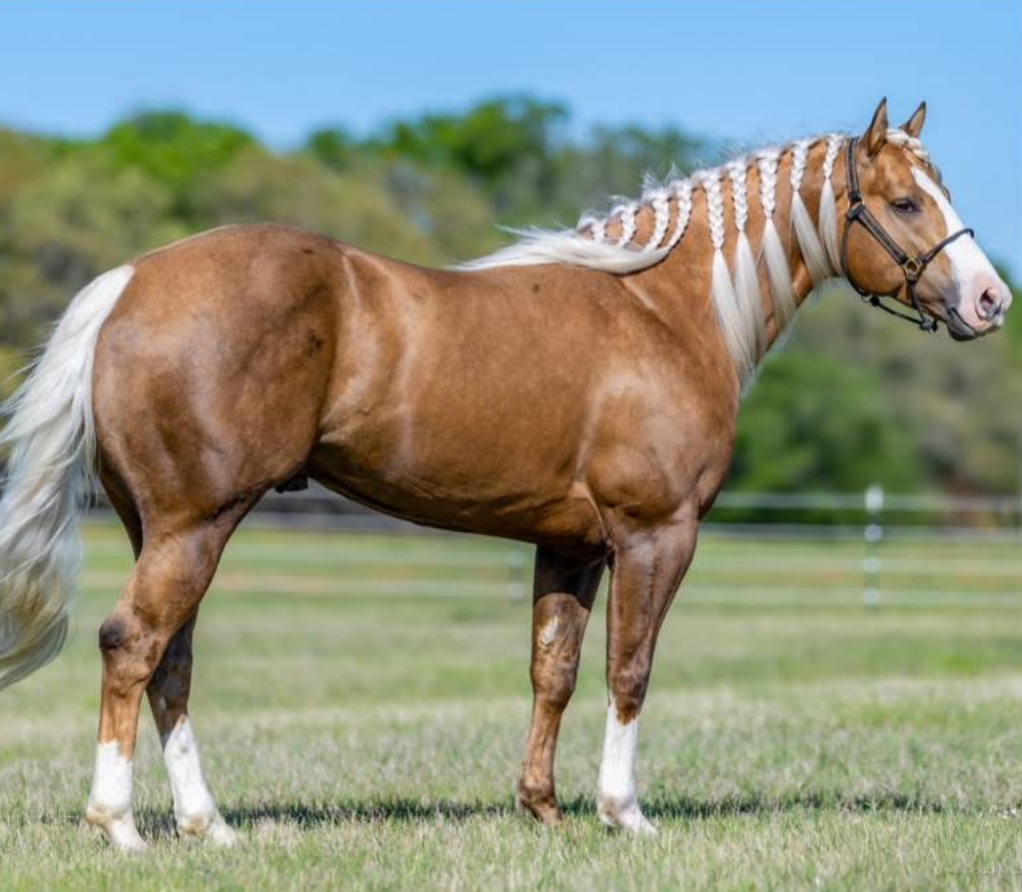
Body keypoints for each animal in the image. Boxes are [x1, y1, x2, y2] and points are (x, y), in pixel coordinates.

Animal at [0, 99, 1010, 850]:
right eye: (906, 203)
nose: (991, 300)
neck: (660, 310)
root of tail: (131, 281)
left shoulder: (571, 546)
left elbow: (552, 671)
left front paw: (543, 807)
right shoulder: (656, 534)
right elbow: (630, 669)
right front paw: (624, 813)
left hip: (167, 528)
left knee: (170, 662)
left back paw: (207, 826)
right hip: (195, 525)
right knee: (133, 645)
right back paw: (119, 825)